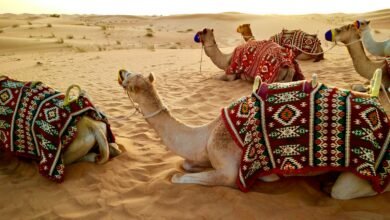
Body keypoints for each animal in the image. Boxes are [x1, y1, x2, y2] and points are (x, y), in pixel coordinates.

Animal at [118, 69, 390, 200]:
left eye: (130, 80)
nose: (120, 71)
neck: (206, 134)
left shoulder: (229, 170)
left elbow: (178, 176)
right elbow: (186, 164)